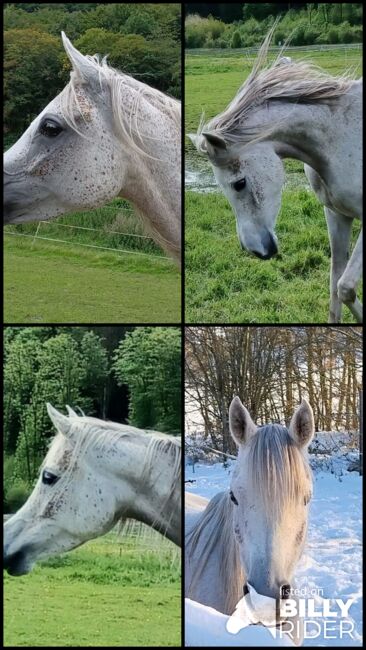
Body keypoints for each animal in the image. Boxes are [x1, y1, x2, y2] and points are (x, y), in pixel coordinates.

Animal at [190, 27, 362, 322]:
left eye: (239, 183)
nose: (257, 251)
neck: (339, 136)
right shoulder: (336, 214)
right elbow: (334, 285)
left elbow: (345, 287)